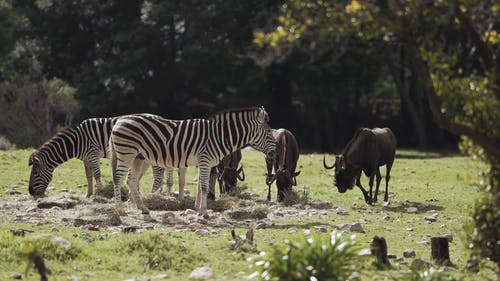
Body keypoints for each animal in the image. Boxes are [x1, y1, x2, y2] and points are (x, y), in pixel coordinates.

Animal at [26, 114, 182, 197]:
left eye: (35, 174)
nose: (31, 193)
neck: (76, 141)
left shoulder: (93, 152)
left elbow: (97, 174)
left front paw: (99, 193)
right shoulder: (86, 158)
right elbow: (88, 175)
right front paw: (88, 194)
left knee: (158, 175)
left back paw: (153, 194)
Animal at [109, 105, 278, 214]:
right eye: (269, 132)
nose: (275, 152)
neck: (219, 136)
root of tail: (120, 120)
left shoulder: (204, 162)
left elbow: (199, 186)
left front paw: (198, 208)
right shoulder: (205, 160)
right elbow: (204, 186)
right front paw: (204, 211)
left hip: (138, 158)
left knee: (131, 180)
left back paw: (142, 208)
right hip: (126, 153)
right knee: (118, 178)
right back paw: (119, 208)